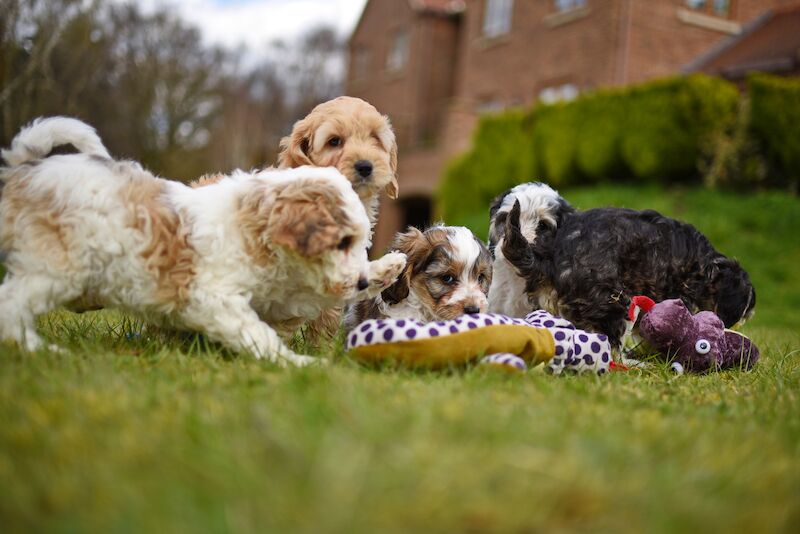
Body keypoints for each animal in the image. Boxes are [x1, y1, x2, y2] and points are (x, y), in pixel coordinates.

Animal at [0, 117, 406, 366]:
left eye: (358, 242)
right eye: (341, 242)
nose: (361, 282)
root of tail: (26, 170)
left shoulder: (278, 296)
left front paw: (388, 266)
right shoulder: (215, 296)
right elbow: (256, 333)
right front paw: (298, 364)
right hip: (57, 266)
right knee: (11, 307)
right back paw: (42, 351)